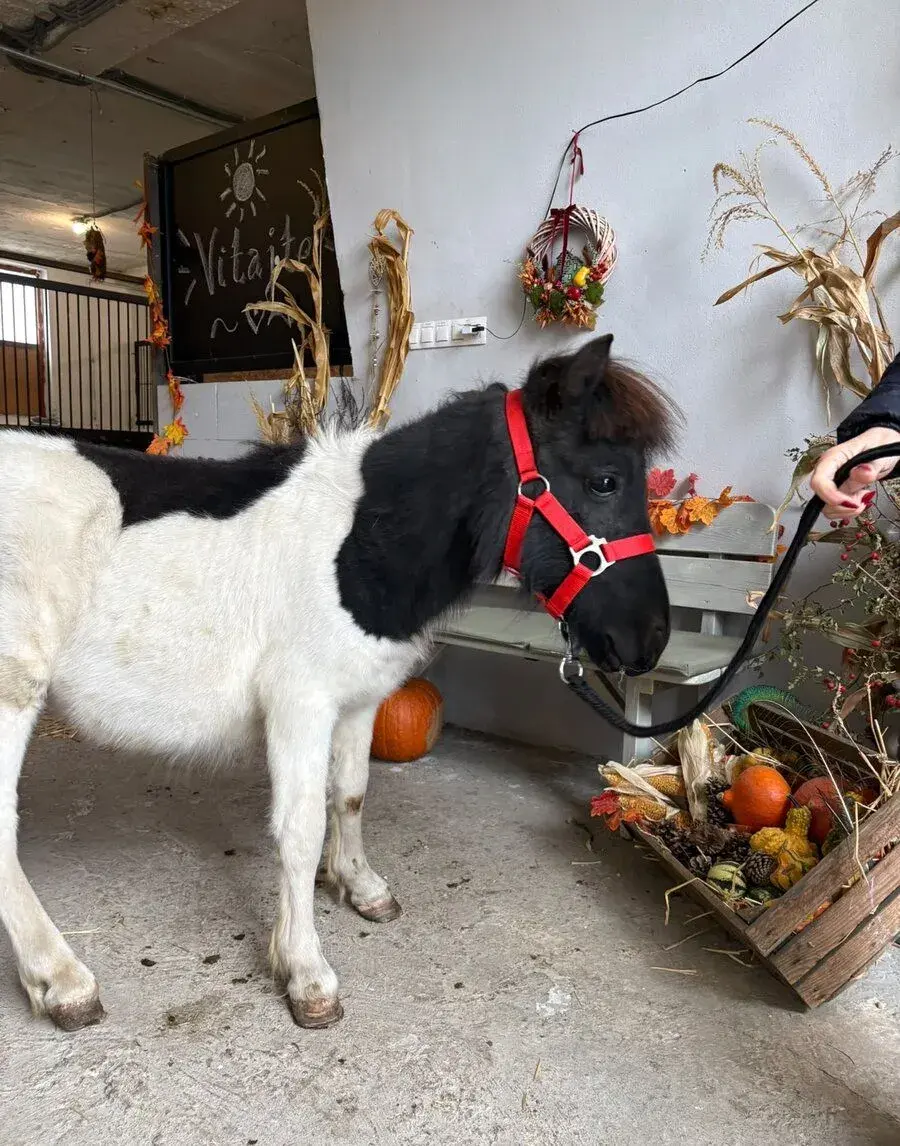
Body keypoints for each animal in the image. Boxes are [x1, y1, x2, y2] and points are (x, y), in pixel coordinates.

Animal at [0, 332, 676, 1030]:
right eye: (605, 481)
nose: (648, 638)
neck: (361, 542)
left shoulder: (358, 702)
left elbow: (348, 794)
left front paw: (360, 886)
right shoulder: (301, 706)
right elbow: (299, 827)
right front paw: (306, 971)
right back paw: (64, 981)